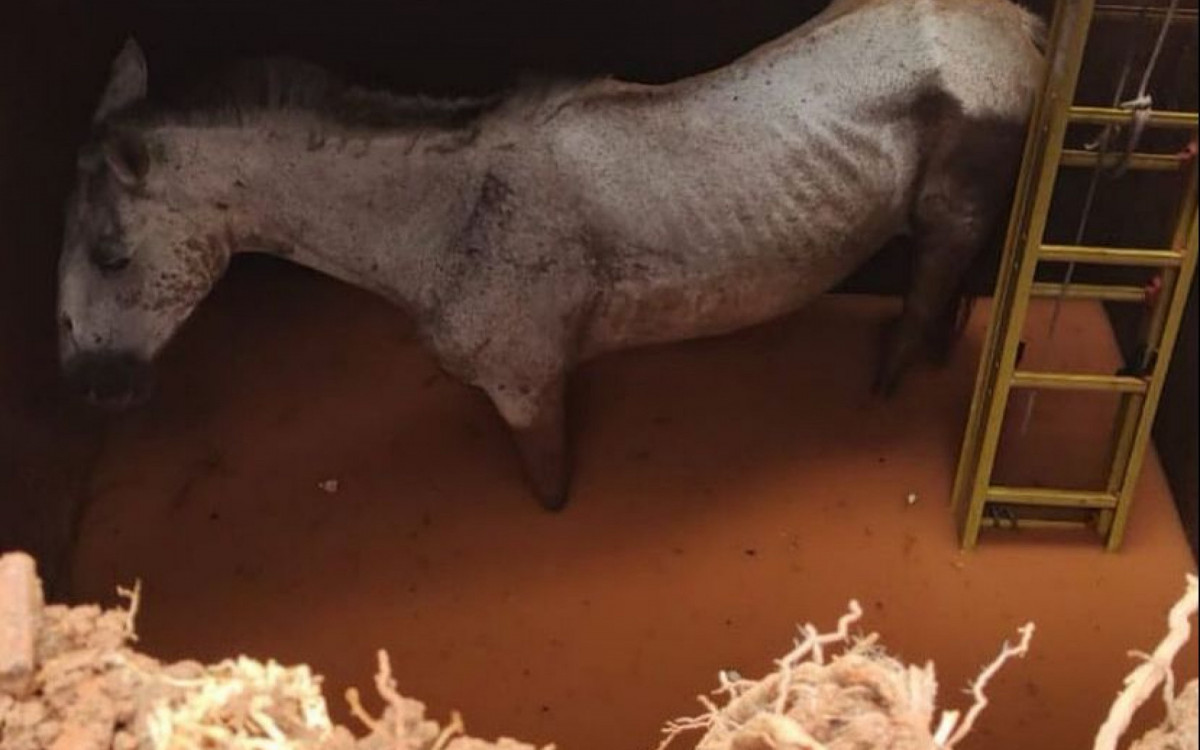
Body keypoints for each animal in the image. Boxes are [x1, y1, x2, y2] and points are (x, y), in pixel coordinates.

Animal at [58, 0, 1045, 511]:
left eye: (110, 255)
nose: (95, 393)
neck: (442, 219)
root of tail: (1018, 25)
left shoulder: (526, 384)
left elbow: (548, 485)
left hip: (952, 211)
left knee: (927, 291)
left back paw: (889, 382)